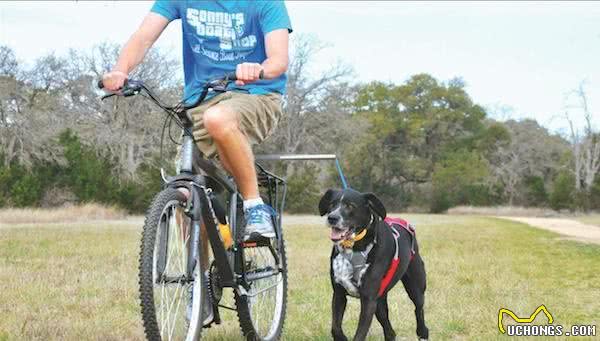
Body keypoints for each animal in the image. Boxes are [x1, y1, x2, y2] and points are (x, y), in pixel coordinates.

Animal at [316, 189, 428, 340]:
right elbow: (335, 327)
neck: (353, 248)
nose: (332, 218)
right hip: (380, 301)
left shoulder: (368, 300)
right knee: (388, 328)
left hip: (415, 286)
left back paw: (422, 332)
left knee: (419, 309)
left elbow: (359, 335)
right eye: (332, 204)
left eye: (350, 206)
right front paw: (341, 338)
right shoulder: (339, 294)